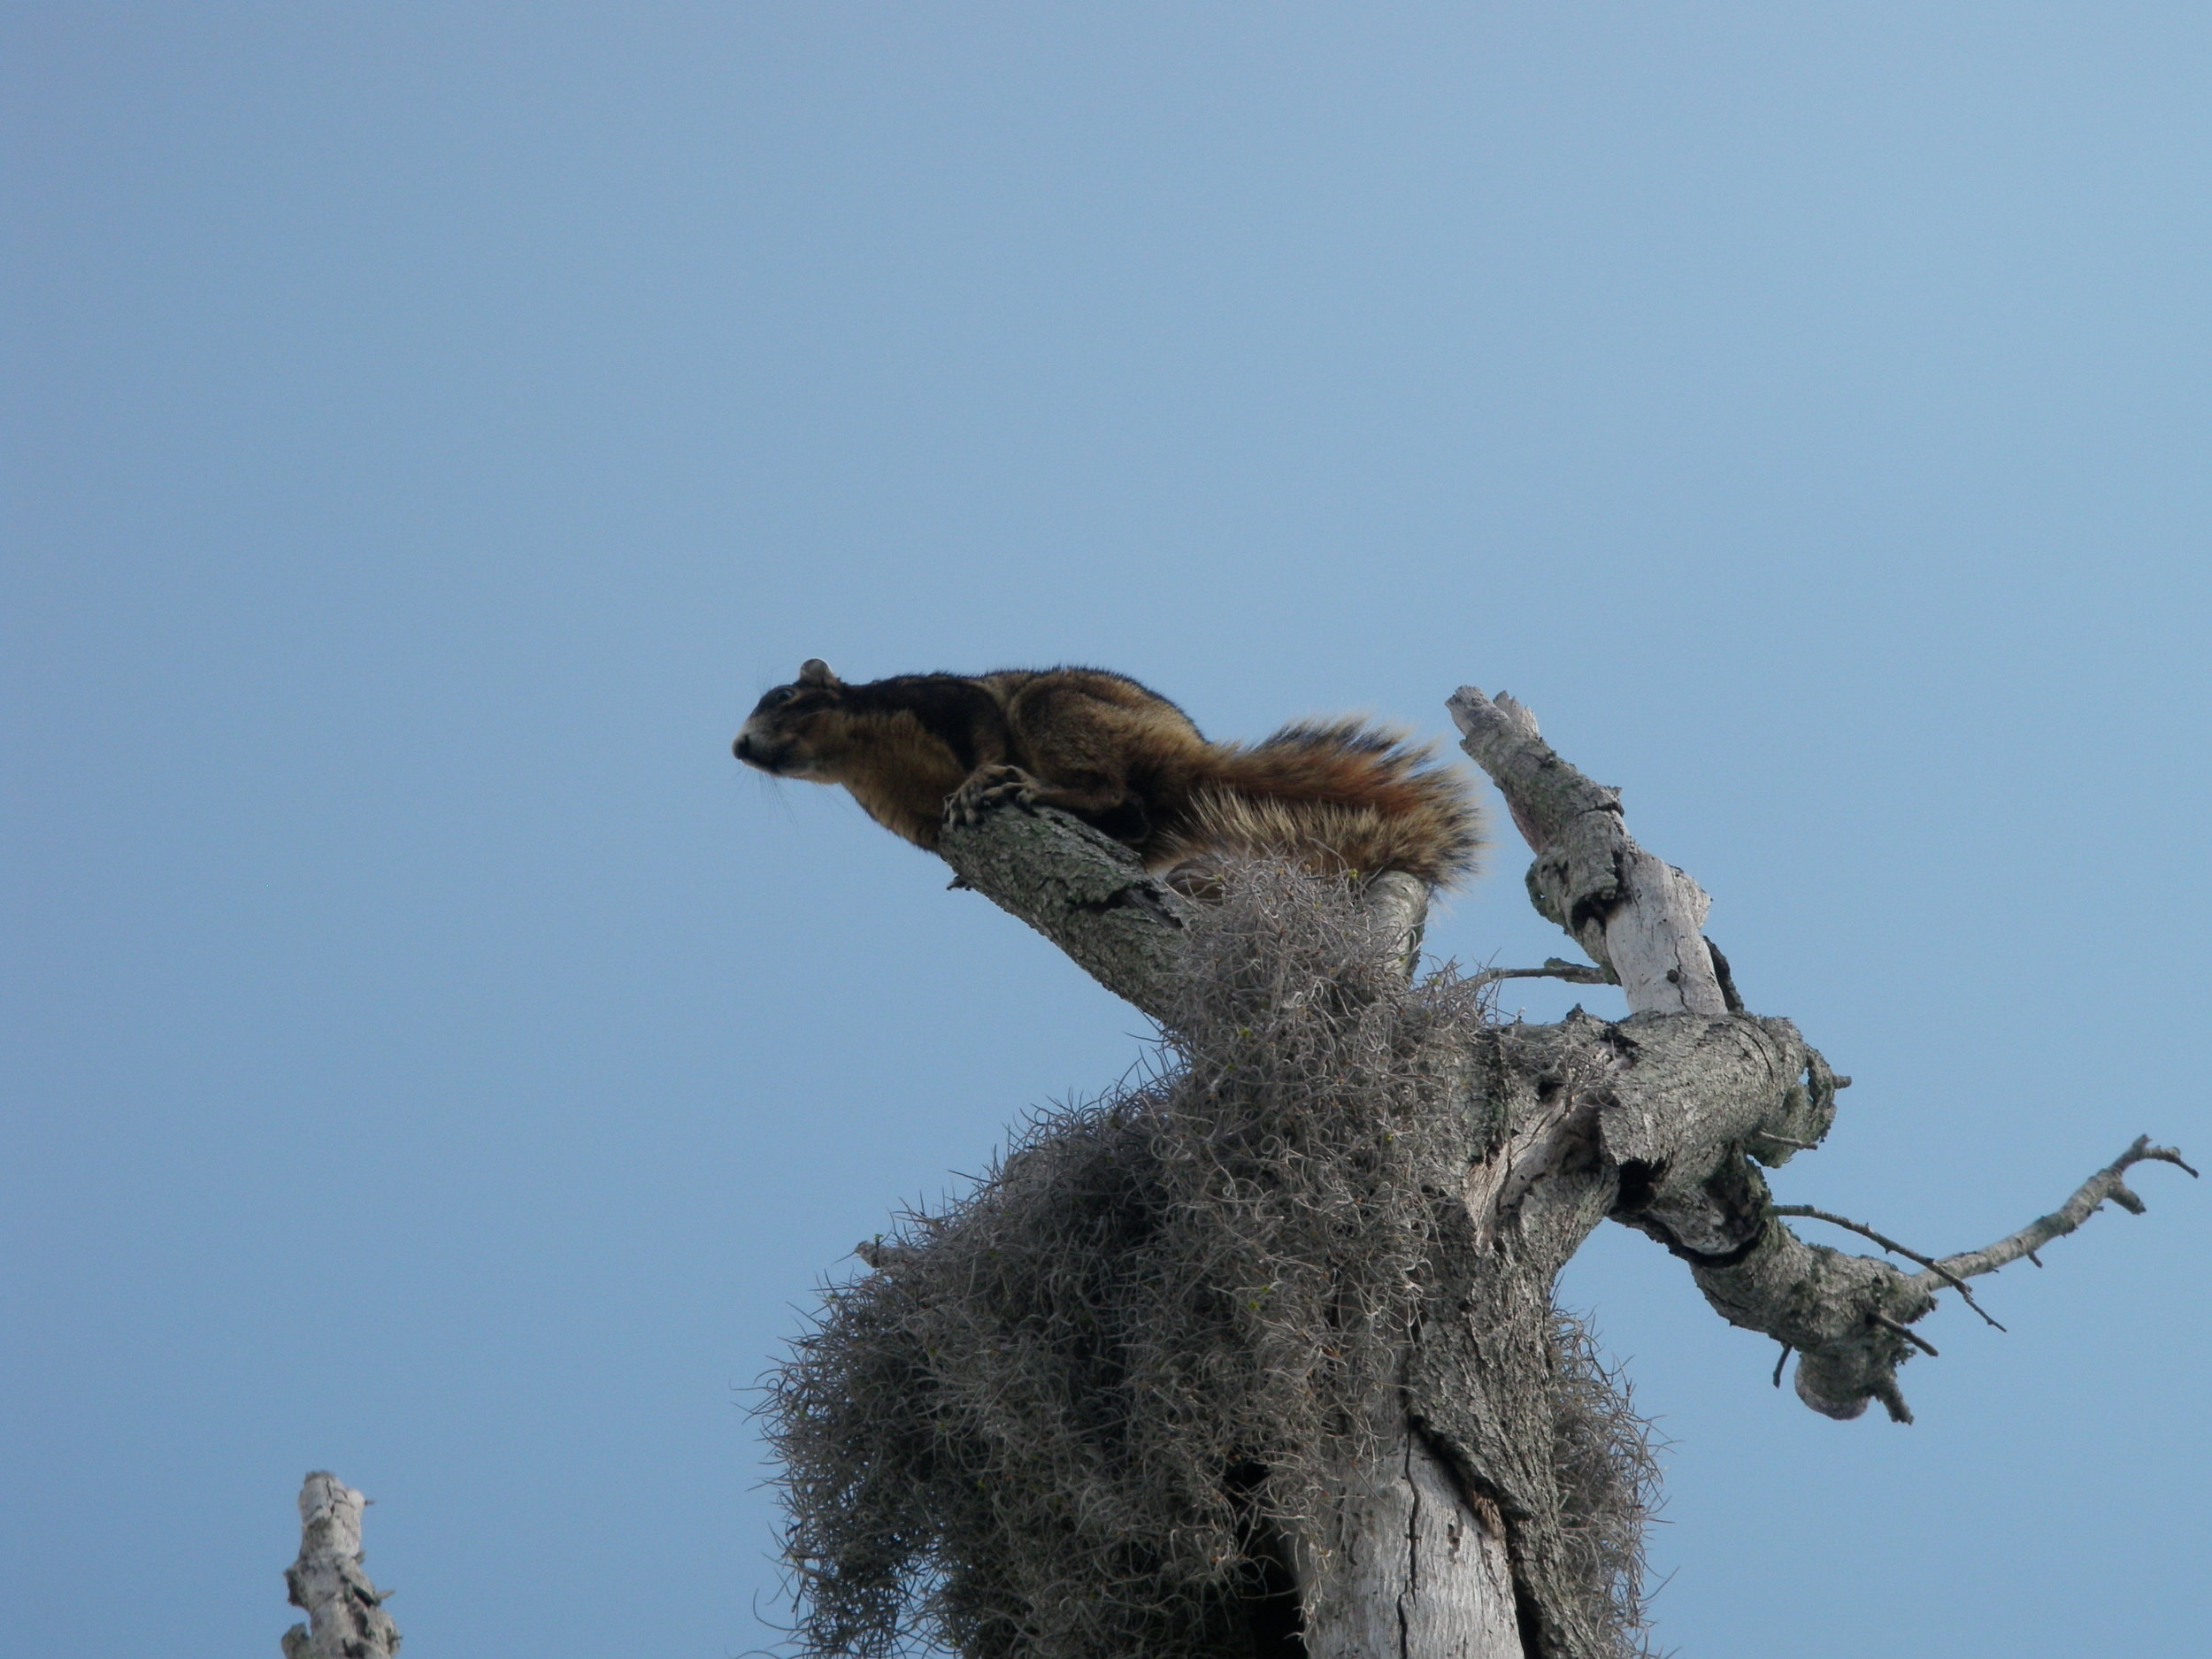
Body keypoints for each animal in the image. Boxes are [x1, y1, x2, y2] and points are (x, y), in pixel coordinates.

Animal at [739, 664, 1486, 898]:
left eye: (783, 697)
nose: (738, 745)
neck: (861, 763)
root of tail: (1192, 759)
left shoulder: (939, 700)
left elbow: (982, 732)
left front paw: (979, 780)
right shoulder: (902, 813)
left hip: (1057, 709)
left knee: (1114, 791)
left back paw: (1040, 788)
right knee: (1132, 820)